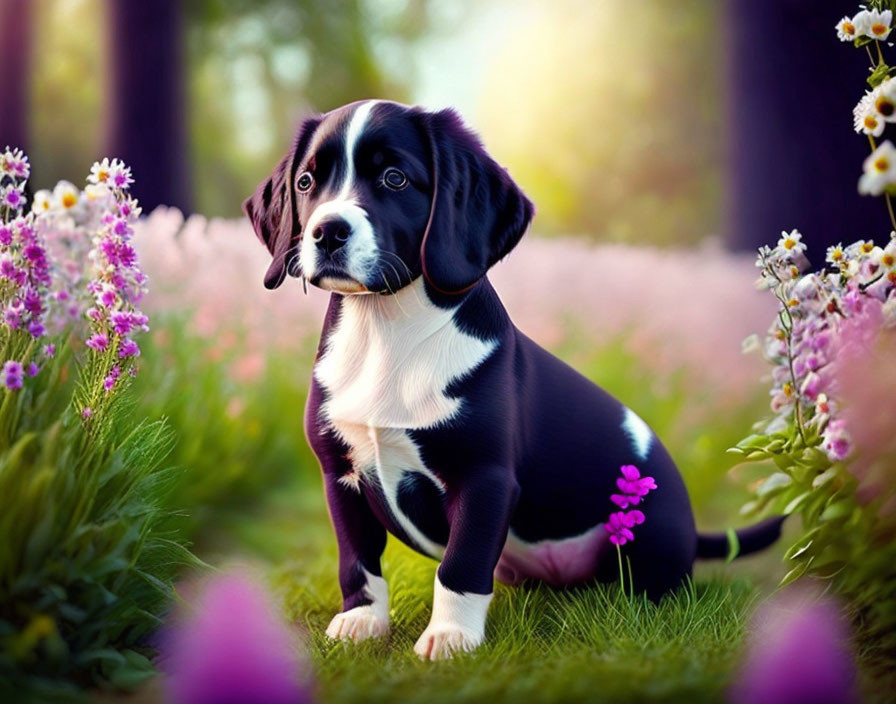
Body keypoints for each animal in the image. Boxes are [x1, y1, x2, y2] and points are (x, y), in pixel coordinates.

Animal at [245, 99, 784, 660]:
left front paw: (450, 638)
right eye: (306, 182)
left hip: (648, 535)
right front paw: (361, 622)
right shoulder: (341, 476)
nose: (326, 231)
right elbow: (358, 560)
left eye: (395, 178)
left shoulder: (484, 478)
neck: (387, 332)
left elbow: (460, 565)